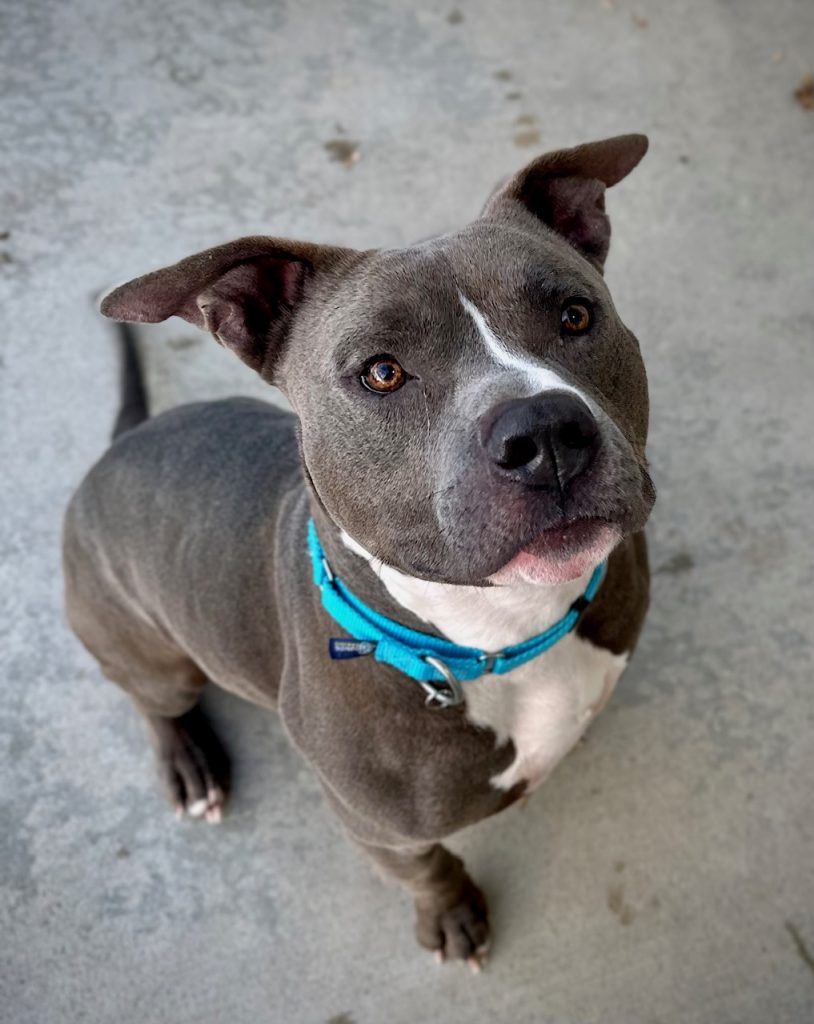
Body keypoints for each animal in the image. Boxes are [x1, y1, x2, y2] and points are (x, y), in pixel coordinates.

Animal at [63, 135, 655, 970]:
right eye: (381, 371)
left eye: (575, 315)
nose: (544, 431)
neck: (502, 635)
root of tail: (121, 444)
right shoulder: (377, 828)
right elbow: (428, 867)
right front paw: (452, 916)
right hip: (149, 651)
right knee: (153, 701)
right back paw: (188, 764)